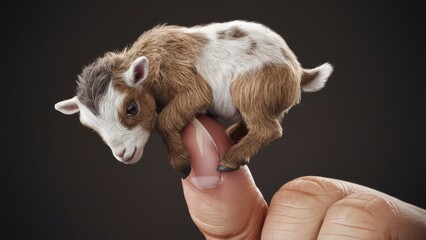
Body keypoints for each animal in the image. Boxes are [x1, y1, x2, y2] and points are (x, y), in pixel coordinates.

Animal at [55, 20, 332, 176]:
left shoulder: (189, 85)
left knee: (268, 128)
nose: (123, 154)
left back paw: (231, 159)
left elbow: (165, 119)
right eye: (91, 126)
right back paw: (231, 138)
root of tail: (297, 70)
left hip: (252, 87)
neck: (153, 61)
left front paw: (182, 164)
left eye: (132, 108)